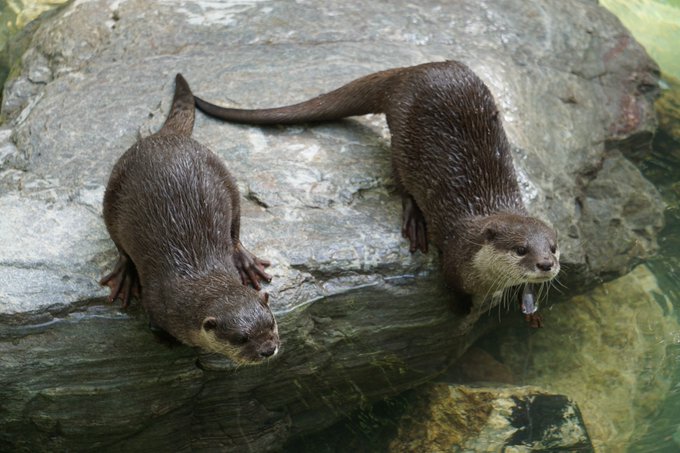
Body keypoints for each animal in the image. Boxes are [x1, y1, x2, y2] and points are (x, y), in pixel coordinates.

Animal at [100, 75, 278, 364]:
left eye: (271, 322)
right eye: (241, 338)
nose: (268, 349)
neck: (197, 278)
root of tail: (165, 136)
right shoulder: (155, 305)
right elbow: (158, 330)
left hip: (225, 177)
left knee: (235, 226)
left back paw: (246, 262)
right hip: (111, 194)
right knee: (119, 245)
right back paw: (125, 275)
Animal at [194, 61, 560, 322]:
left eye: (553, 248)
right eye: (521, 249)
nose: (546, 264)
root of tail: (409, 73)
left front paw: (529, 306)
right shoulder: (454, 261)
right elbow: (455, 294)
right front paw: (466, 313)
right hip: (403, 136)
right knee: (400, 176)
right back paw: (414, 220)